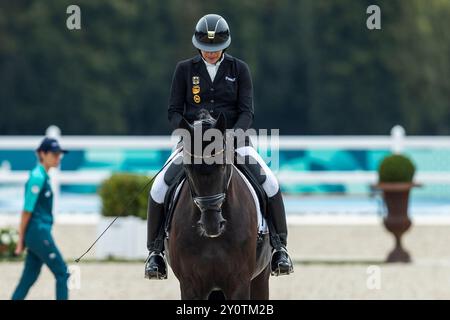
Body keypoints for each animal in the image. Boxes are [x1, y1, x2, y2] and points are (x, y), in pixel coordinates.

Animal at [165, 110, 270, 300]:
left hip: (260, 278)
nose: (211, 225)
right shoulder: (190, 284)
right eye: (188, 168)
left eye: (222, 165)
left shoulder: (240, 282)